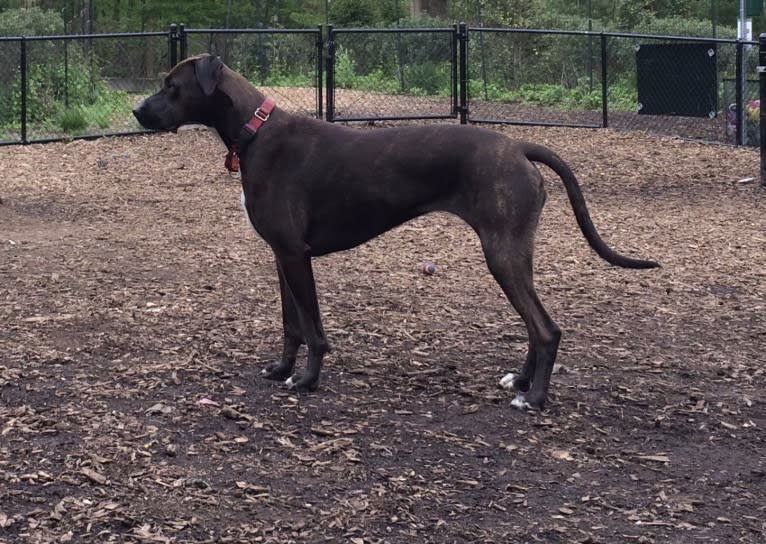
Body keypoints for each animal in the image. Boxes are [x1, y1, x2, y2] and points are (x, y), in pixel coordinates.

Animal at [132, 56, 660, 412]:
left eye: (171, 85)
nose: (137, 111)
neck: (255, 132)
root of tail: (518, 146)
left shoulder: (295, 254)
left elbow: (313, 328)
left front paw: (307, 380)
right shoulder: (280, 256)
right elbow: (290, 324)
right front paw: (281, 370)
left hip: (502, 254)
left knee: (546, 328)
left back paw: (536, 399)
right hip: (515, 253)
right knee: (535, 325)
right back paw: (523, 383)